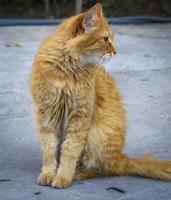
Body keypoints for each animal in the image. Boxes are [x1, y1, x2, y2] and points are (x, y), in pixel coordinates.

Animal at [30, 3, 171, 189]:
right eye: (105, 39)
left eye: (110, 39)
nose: (116, 51)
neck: (66, 69)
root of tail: (121, 158)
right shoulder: (46, 114)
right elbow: (49, 149)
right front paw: (48, 173)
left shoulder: (80, 117)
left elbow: (69, 150)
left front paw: (62, 177)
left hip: (95, 135)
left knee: (101, 170)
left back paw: (76, 174)